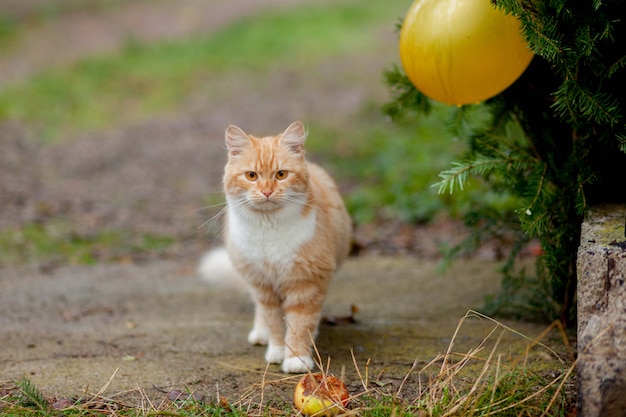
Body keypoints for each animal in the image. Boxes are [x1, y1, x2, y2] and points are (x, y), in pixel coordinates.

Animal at [211, 119, 348, 370]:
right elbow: (273, 321)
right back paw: (260, 334)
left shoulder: (307, 283)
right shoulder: (263, 286)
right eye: (252, 176)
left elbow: (299, 325)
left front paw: (296, 358)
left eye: (281, 174)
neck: (268, 230)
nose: (267, 191)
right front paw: (276, 350)